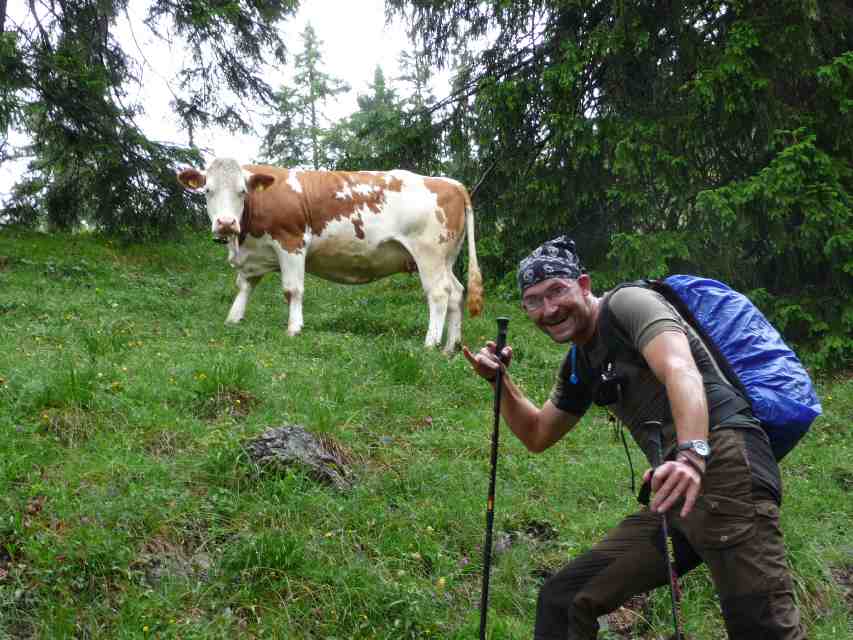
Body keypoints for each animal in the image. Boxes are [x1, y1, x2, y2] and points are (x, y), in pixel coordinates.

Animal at [176, 158, 482, 352]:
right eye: (207, 190)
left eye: (242, 191)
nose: (226, 223)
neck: (243, 241)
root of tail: (451, 183)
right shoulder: (254, 255)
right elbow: (244, 286)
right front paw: (233, 319)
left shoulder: (291, 243)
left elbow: (292, 290)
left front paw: (294, 328)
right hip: (446, 259)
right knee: (456, 293)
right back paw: (451, 346)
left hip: (429, 254)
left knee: (439, 295)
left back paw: (431, 344)